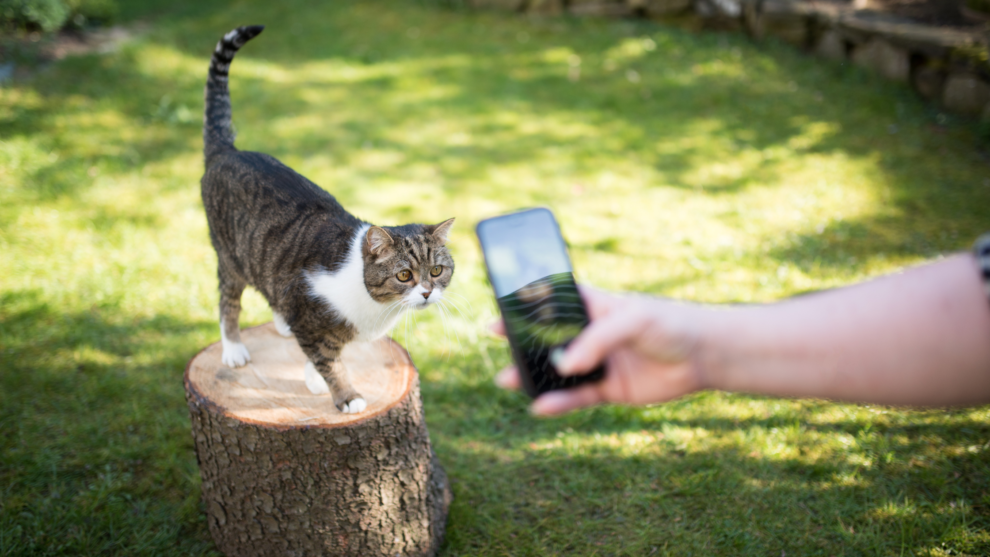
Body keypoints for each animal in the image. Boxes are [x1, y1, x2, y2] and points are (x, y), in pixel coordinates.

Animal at [202, 26, 458, 412]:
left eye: (438, 270)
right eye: (404, 275)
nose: (427, 292)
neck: (375, 305)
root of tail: (227, 152)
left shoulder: (306, 314)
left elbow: (320, 355)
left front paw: (312, 378)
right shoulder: (308, 311)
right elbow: (328, 360)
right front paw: (346, 396)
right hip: (231, 255)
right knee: (227, 301)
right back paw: (233, 348)